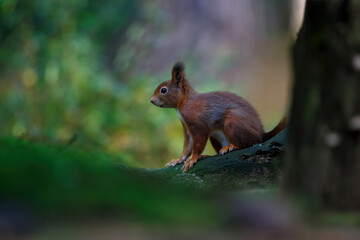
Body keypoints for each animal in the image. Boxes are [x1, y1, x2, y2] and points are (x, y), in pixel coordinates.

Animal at [150, 61, 286, 171]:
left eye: (163, 90)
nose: (151, 100)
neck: (183, 103)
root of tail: (261, 135)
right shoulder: (186, 127)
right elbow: (187, 146)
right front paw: (178, 160)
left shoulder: (199, 125)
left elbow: (197, 144)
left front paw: (192, 159)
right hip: (215, 137)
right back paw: (208, 155)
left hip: (233, 122)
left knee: (249, 143)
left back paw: (232, 146)